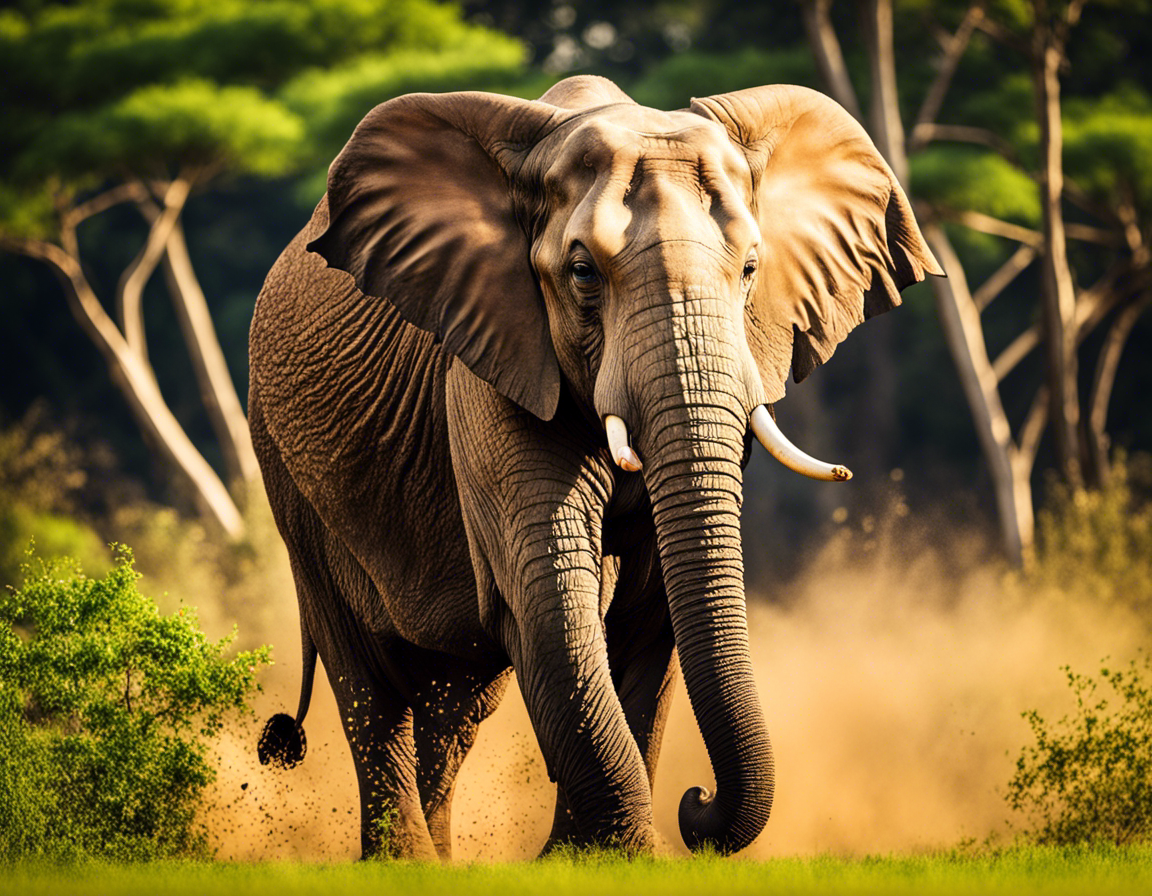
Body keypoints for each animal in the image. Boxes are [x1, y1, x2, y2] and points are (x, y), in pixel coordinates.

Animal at [249, 75, 941, 860]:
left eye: (751, 270)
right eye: (581, 272)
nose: (697, 804)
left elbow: (653, 606)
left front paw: (598, 856)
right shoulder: (490, 368)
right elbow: (547, 602)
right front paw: (600, 855)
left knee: (454, 708)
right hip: (285, 469)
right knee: (369, 680)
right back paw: (407, 863)